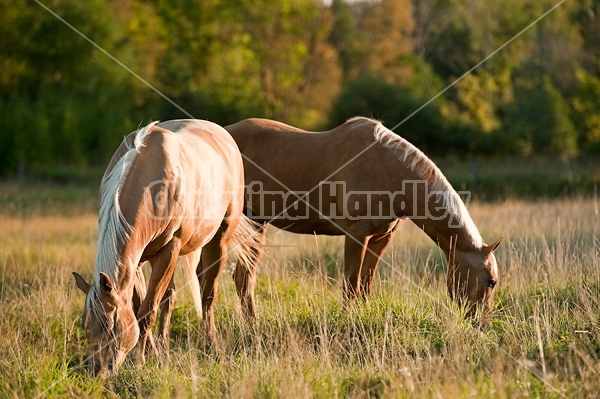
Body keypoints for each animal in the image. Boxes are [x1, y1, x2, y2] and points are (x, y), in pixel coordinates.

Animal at [72, 119, 258, 376]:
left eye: (109, 324)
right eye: (85, 325)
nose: (97, 371)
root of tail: (223, 135)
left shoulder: (169, 250)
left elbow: (146, 311)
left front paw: (139, 361)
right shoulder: (136, 260)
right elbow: (141, 305)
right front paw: (152, 355)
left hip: (217, 241)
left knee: (207, 295)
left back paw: (211, 346)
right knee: (170, 298)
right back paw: (163, 349)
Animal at [227, 115, 504, 318]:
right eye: (491, 281)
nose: (482, 323)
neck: (390, 170)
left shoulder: (381, 237)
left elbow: (365, 284)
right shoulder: (356, 234)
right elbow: (351, 284)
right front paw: (347, 320)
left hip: (256, 225)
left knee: (243, 279)